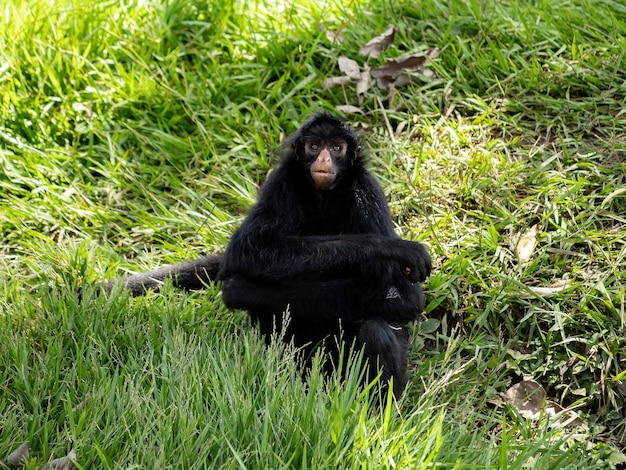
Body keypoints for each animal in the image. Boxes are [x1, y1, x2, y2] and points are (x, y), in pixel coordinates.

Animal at [98, 113, 428, 396]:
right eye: (314, 146)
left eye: (337, 148)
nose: (323, 159)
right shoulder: (283, 181)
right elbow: (248, 250)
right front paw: (391, 247)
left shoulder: (366, 190)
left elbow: (403, 296)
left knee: (373, 327)